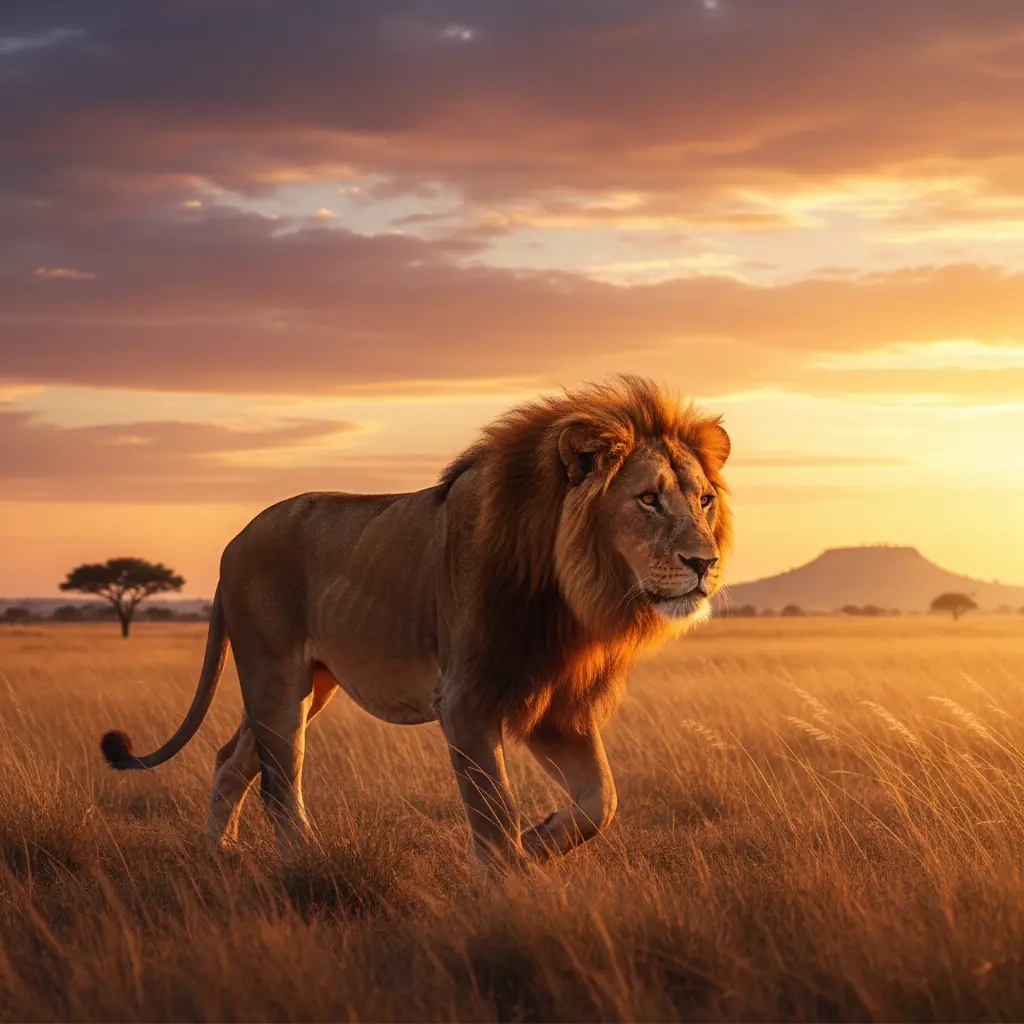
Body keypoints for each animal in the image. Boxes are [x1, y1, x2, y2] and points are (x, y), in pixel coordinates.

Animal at [100, 375, 732, 865]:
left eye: (704, 500)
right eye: (648, 499)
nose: (705, 563)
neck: (568, 594)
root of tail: (234, 543)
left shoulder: (556, 704)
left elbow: (601, 802)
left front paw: (539, 841)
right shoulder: (466, 700)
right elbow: (494, 815)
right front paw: (513, 886)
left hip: (309, 684)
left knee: (231, 761)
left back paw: (220, 856)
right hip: (275, 677)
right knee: (280, 785)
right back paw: (308, 865)